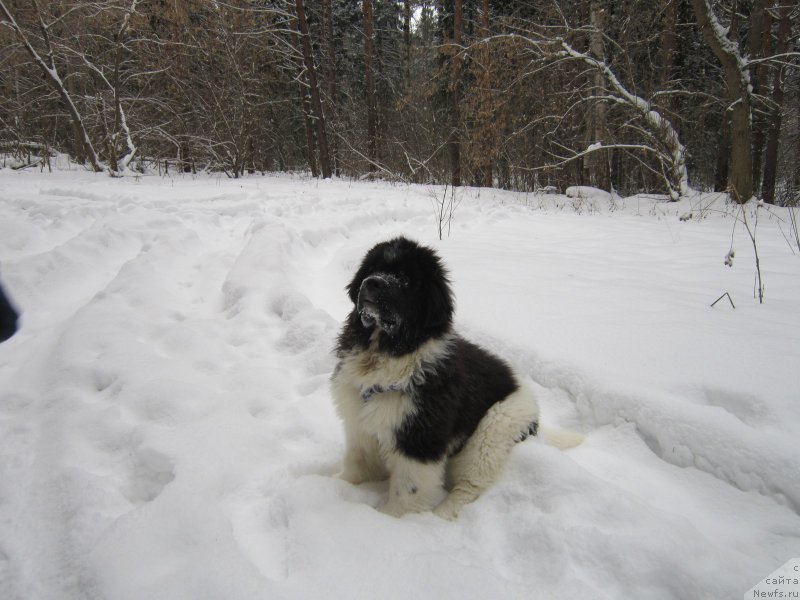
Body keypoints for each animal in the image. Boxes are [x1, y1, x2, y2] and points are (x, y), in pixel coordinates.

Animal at [332, 237, 580, 516]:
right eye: (372, 269)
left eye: (405, 279)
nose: (372, 282)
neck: (387, 353)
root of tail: (536, 417)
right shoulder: (360, 424)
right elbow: (357, 463)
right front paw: (334, 484)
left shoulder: (420, 437)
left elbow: (407, 490)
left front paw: (389, 519)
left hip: (493, 432)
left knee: (471, 485)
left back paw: (443, 514)